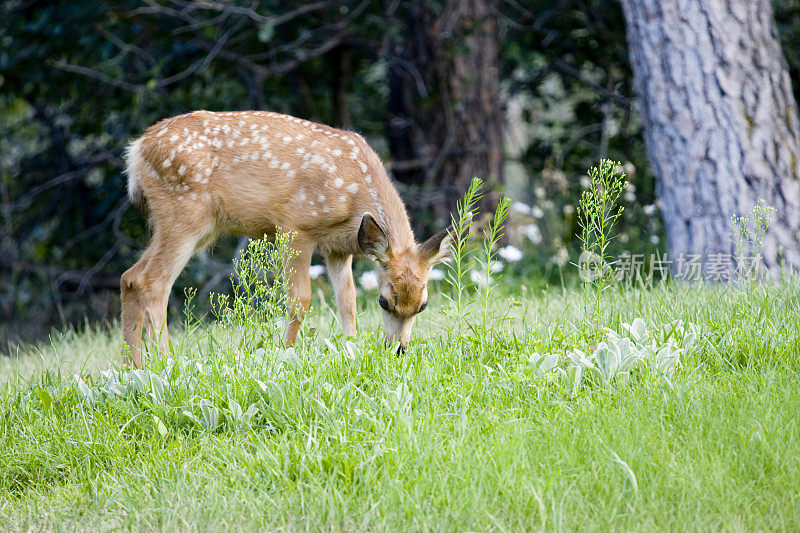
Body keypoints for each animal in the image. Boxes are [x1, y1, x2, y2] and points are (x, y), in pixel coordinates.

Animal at [118, 108, 456, 366]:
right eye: (384, 302)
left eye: (423, 305)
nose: (398, 350)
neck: (353, 193)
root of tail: (137, 149)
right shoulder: (294, 225)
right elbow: (301, 298)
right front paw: (286, 353)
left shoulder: (338, 248)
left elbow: (347, 301)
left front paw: (350, 347)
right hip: (185, 212)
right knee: (152, 282)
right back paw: (167, 363)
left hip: (191, 224)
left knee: (130, 276)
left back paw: (132, 368)